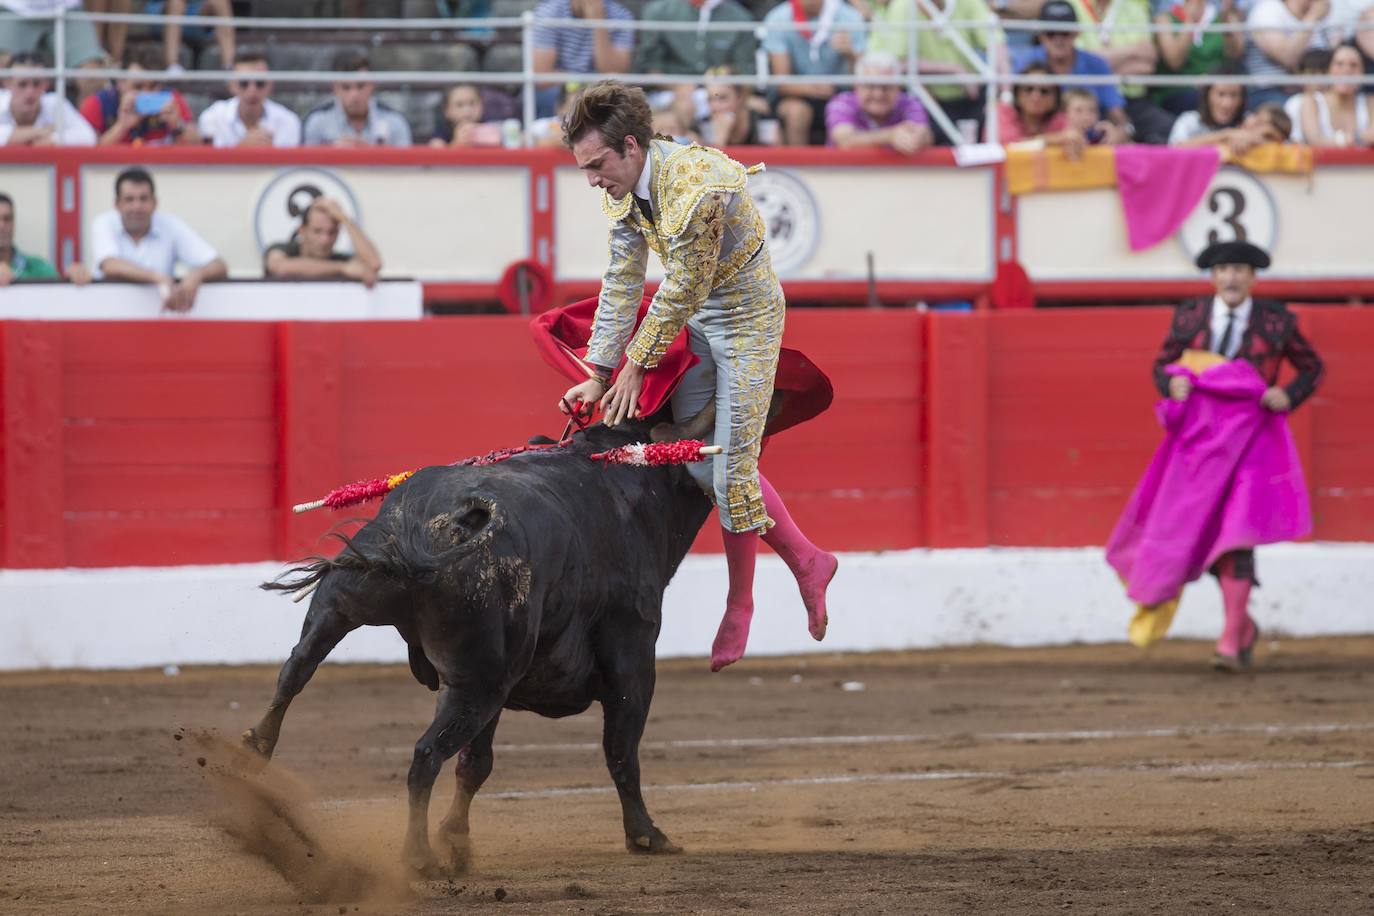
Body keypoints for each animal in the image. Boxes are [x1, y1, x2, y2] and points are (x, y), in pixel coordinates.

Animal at [247, 420, 714, 873]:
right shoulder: (633, 656)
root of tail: (429, 528)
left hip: (342, 611)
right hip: (480, 683)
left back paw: (253, 751)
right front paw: (647, 836)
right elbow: (621, 750)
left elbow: (476, 763)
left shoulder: (501, 685)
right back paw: (419, 857)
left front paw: (456, 840)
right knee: (427, 754)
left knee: (295, 672)